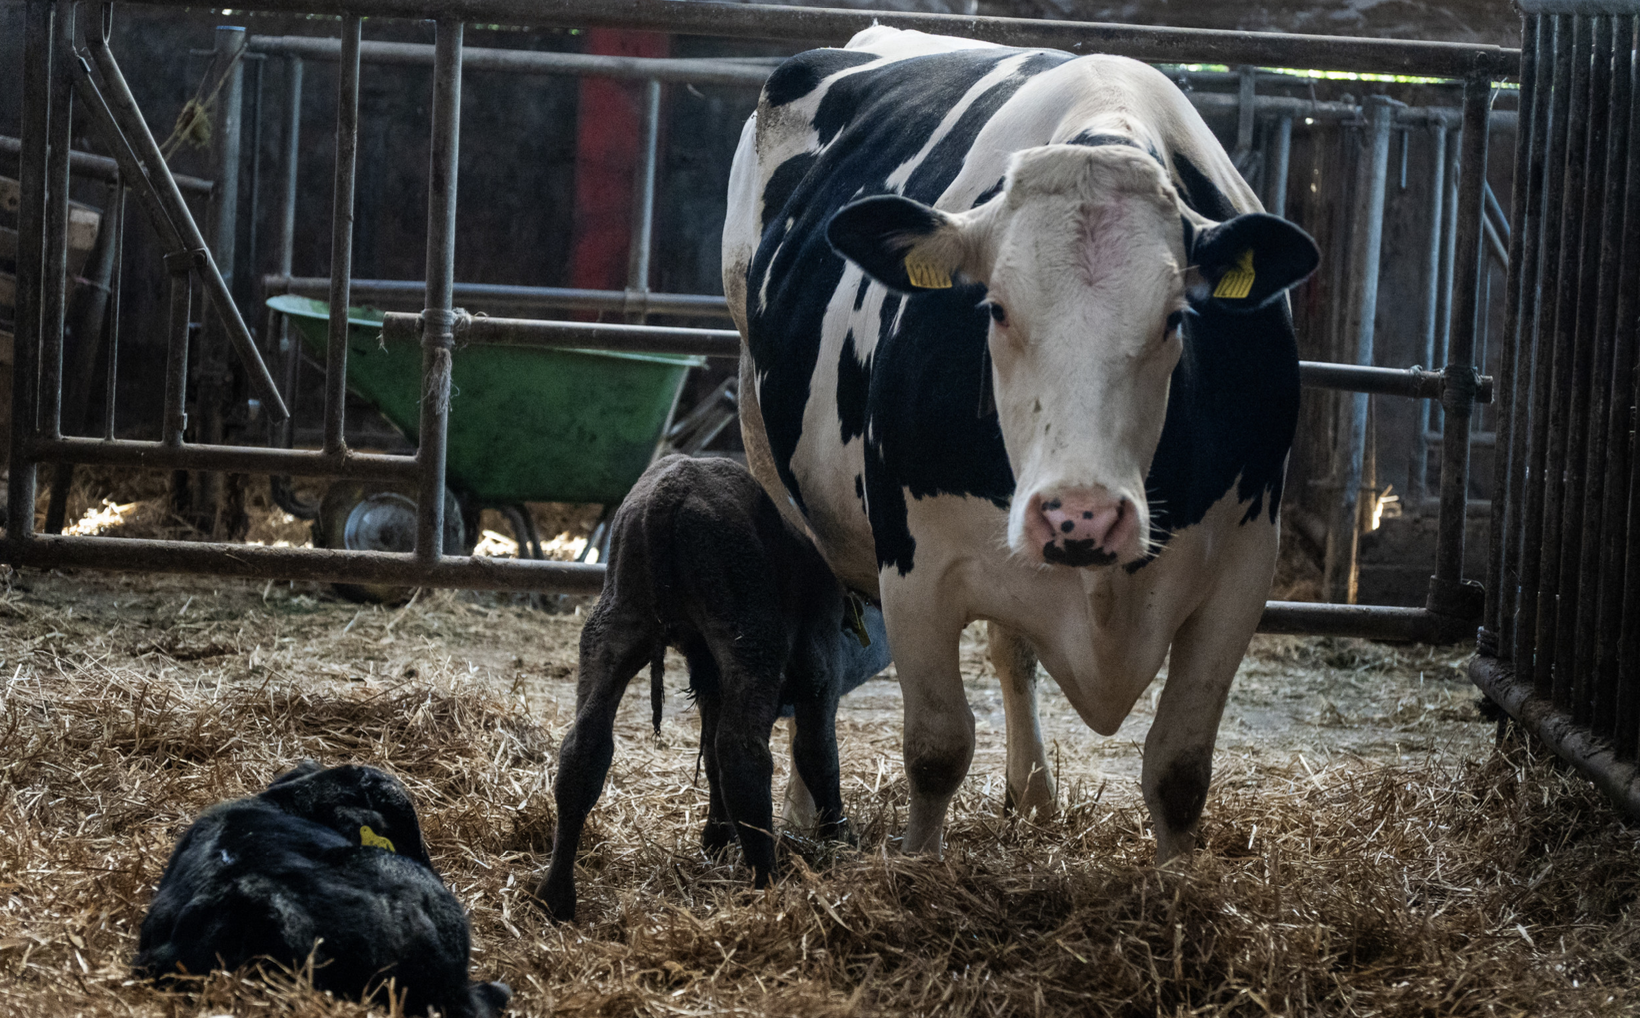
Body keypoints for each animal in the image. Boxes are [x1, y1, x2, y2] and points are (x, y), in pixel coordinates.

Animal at [534, 455, 892, 918]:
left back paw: (555, 896)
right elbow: (818, 757)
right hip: (749, 630)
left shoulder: (710, 685)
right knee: (742, 756)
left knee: (583, 748)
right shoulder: (819, 677)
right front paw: (839, 839)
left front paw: (717, 838)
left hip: (615, 621)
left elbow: (711, 759)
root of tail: (668, 494)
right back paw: (767, 884)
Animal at [728, 29, 1318, 858]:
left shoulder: (1243, 569)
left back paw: (1033, 796)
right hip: (772, 466)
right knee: (815, 663)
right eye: (997, 308)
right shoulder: (915, 567)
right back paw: (810, 810)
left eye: (1176, 316)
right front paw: (918, 864)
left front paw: (1176, 874)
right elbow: (937, 748)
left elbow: (1179, 767)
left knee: (1013, 651)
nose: (1081, 514)